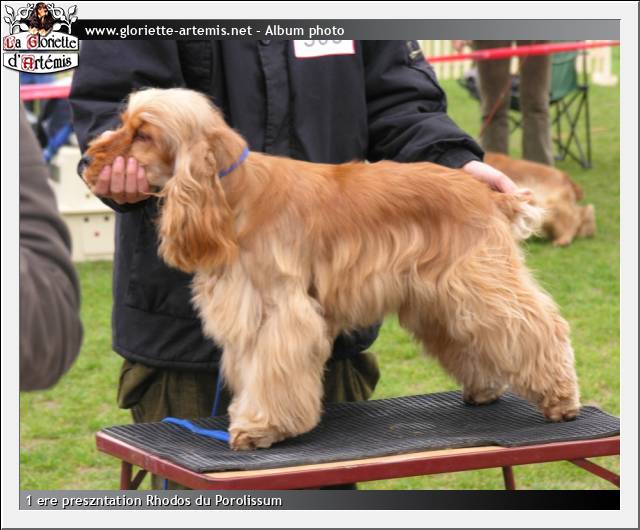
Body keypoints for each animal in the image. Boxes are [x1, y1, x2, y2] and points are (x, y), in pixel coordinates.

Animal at [83, 88, 581, 450]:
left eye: (143, 134)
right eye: (123, 124)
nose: (87, 159)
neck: (233, 194)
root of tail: (489, 194)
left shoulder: (280, 309)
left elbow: (272, 372)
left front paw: (261, 427)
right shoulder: (246, 309)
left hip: (479, 282)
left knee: (540, 325)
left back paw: (561, 398)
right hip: (440, 297)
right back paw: (485, 389)